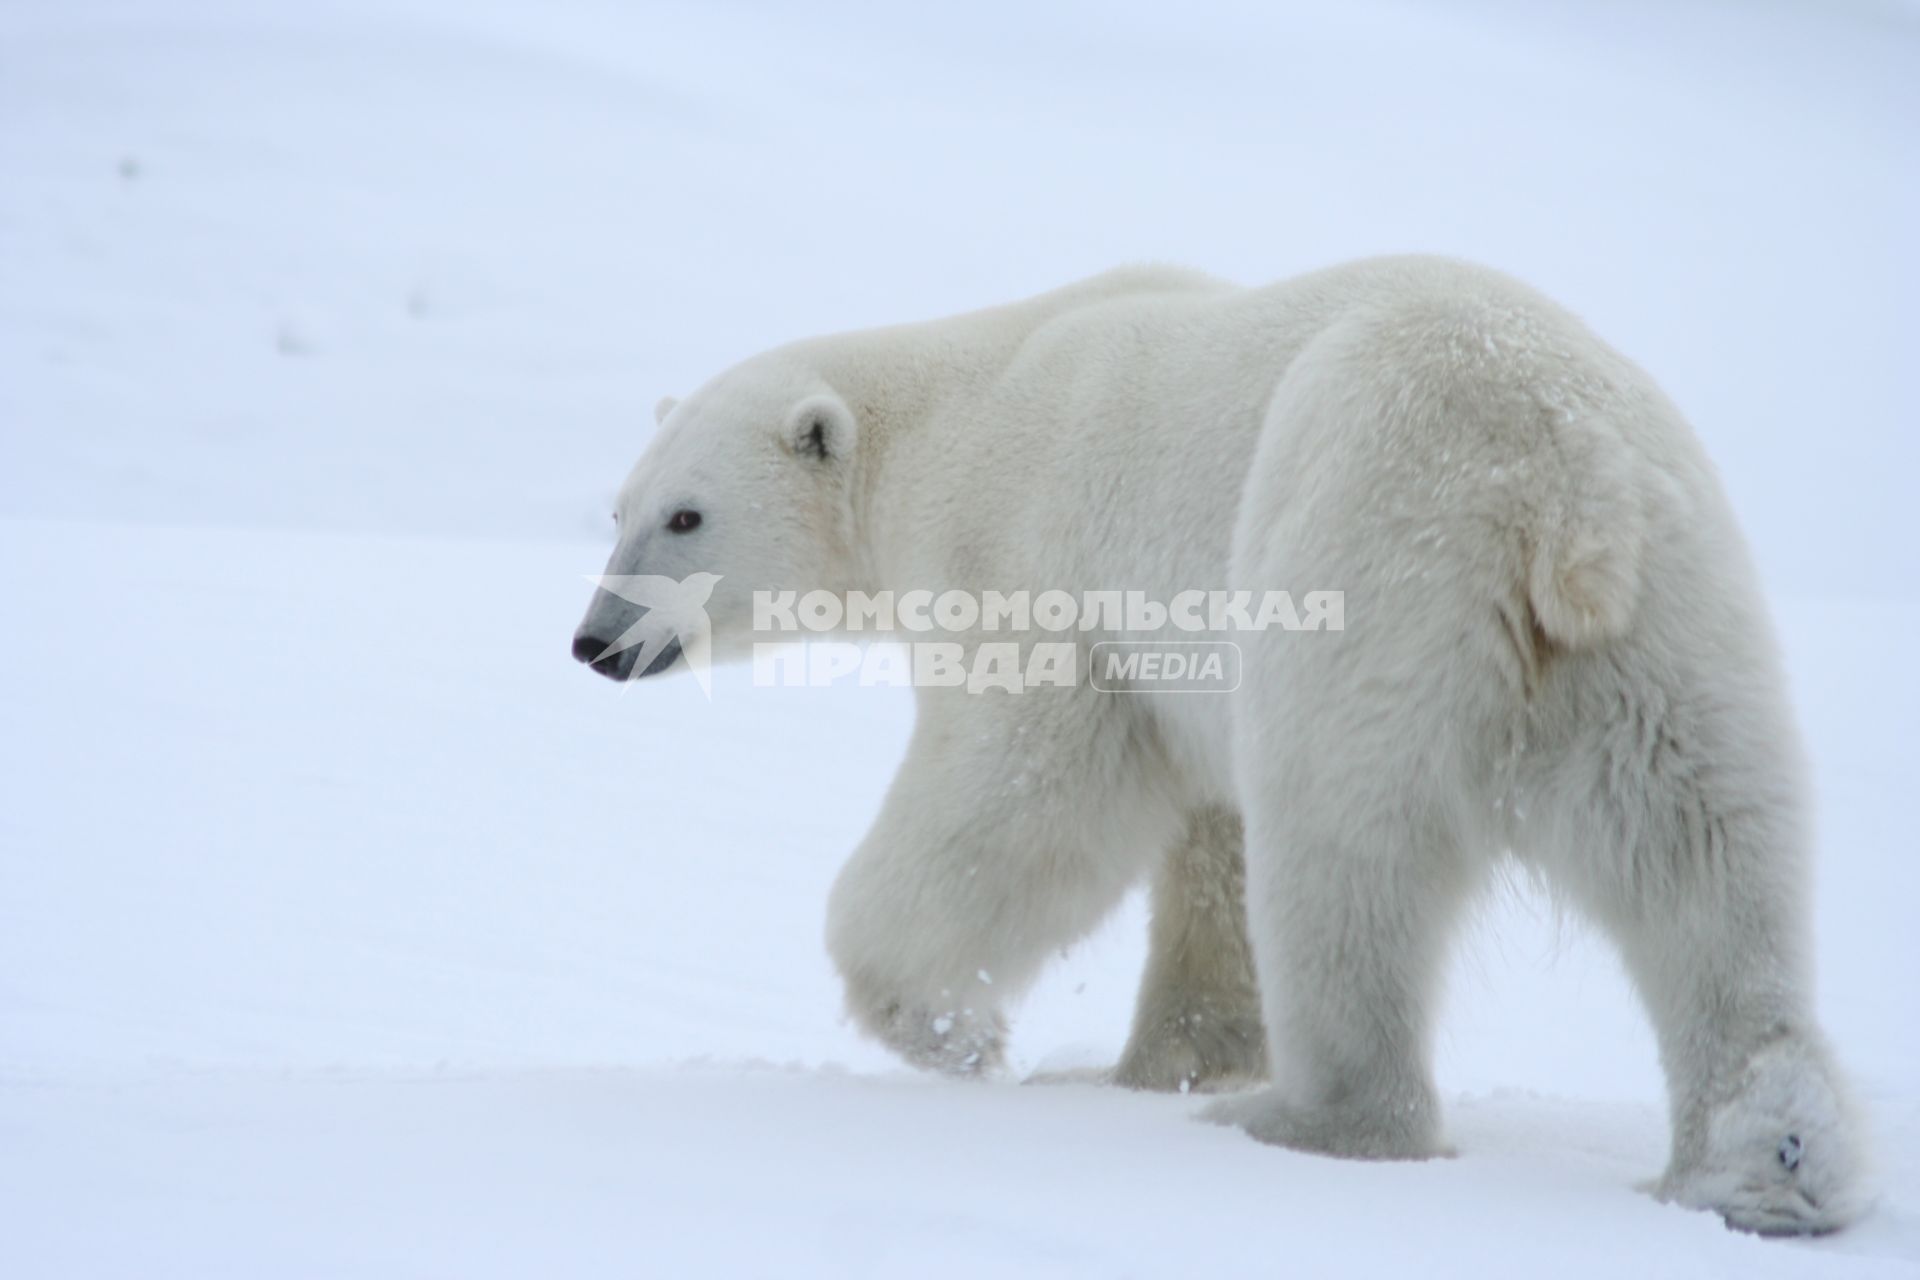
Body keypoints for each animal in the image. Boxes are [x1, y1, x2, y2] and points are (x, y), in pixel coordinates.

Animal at [576, 257, 1866, 1228]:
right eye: (617, 506)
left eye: (685, 515)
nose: (594, 640)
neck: (955, 409)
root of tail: (1564, 483)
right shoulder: (1183, 670)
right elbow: (1208, 841)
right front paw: (1160, 1062)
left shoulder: (1036, 563)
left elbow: (1025, 787)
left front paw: (955, 1031)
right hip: (1669, 622)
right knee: (1706, 852)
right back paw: (1767, 1162)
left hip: (1371, 555)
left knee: (1344, 845)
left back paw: (1304, 1119)